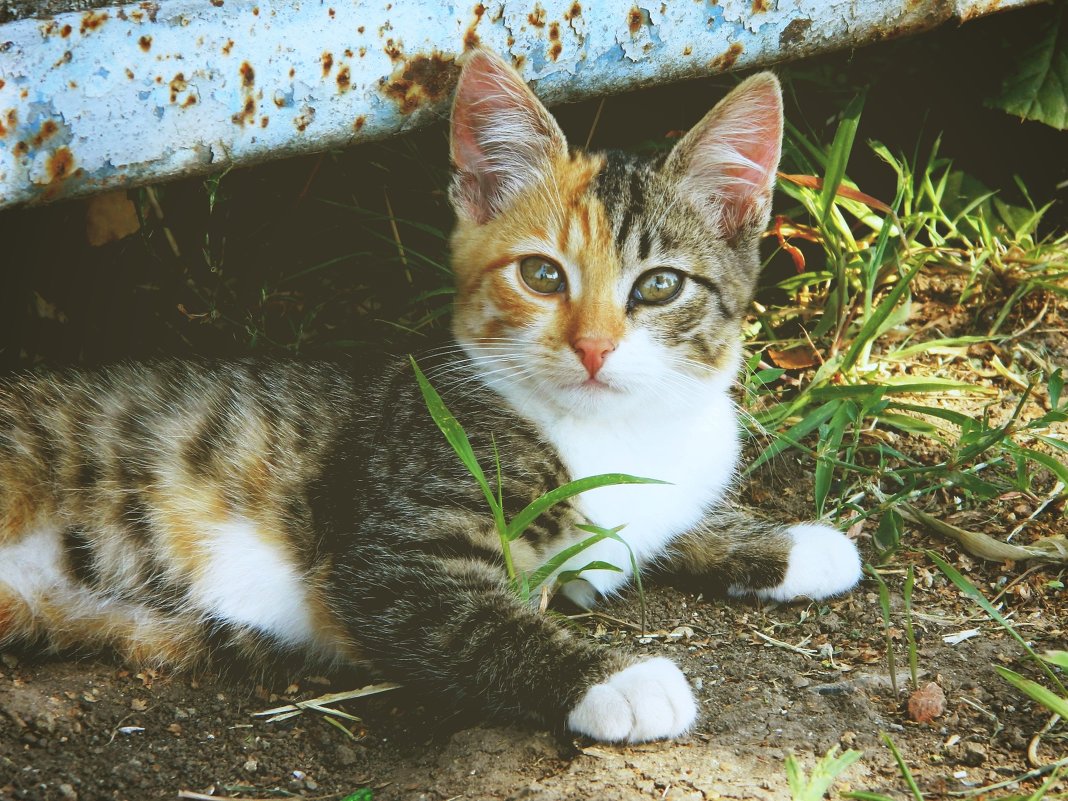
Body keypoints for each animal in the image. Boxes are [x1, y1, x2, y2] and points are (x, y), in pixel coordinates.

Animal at [0, 50, 862, 743]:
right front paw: (617, 679)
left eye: (659, 286)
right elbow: (474, 618)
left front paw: (792, 542)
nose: (593, 347)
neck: (611, 428)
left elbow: (665, 523)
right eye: (542, 274)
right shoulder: (390, 543)